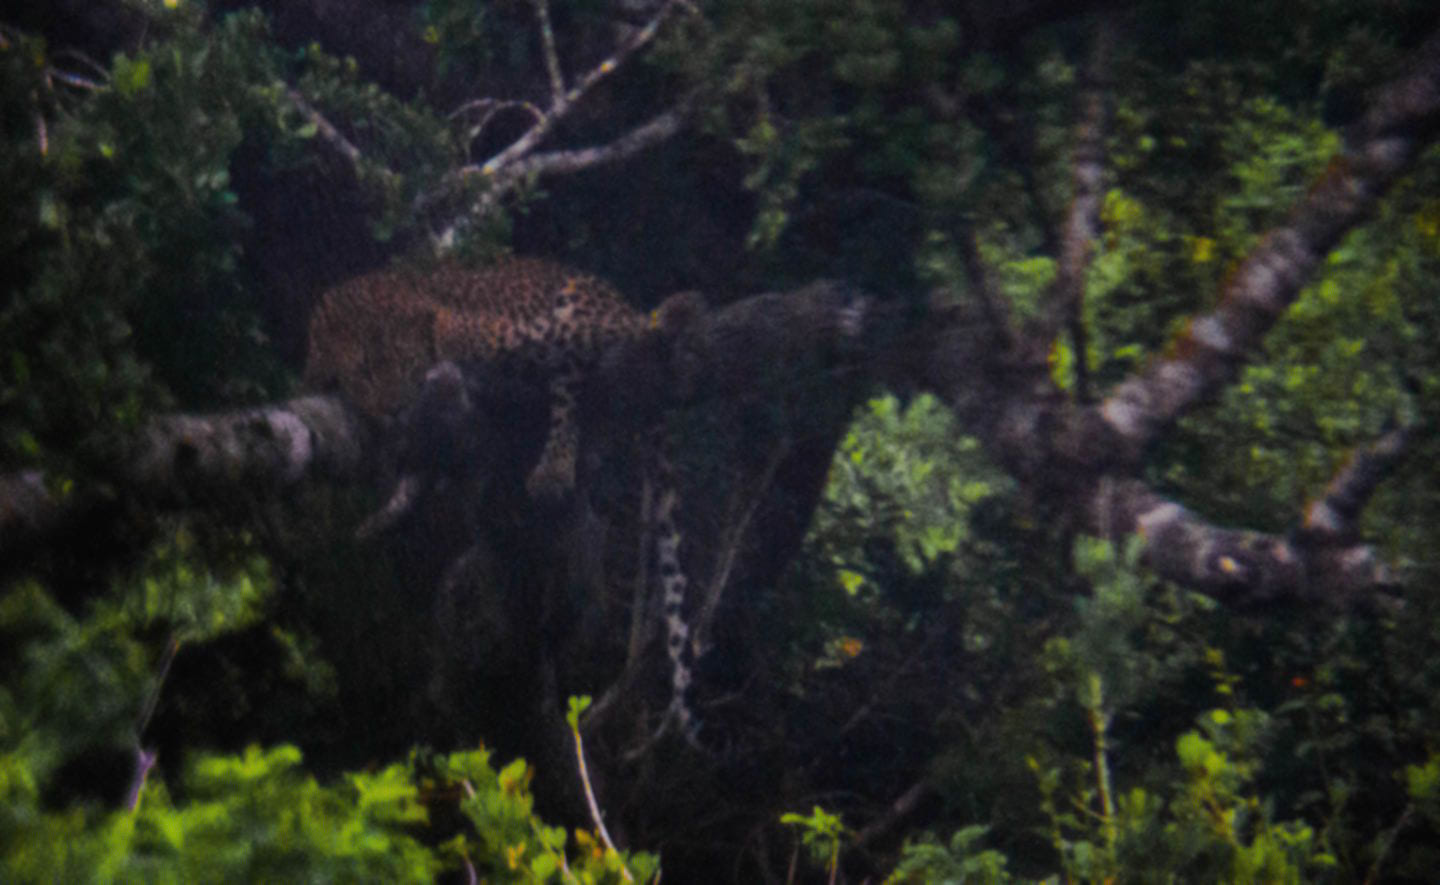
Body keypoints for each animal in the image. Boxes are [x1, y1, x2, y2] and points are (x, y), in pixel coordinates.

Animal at [304, 256, 707, 745]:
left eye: (402, 363)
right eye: (362, 374)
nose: (394, 409)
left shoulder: (501, 332)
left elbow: (581, 338)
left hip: (575, 307)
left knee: (577, 378)